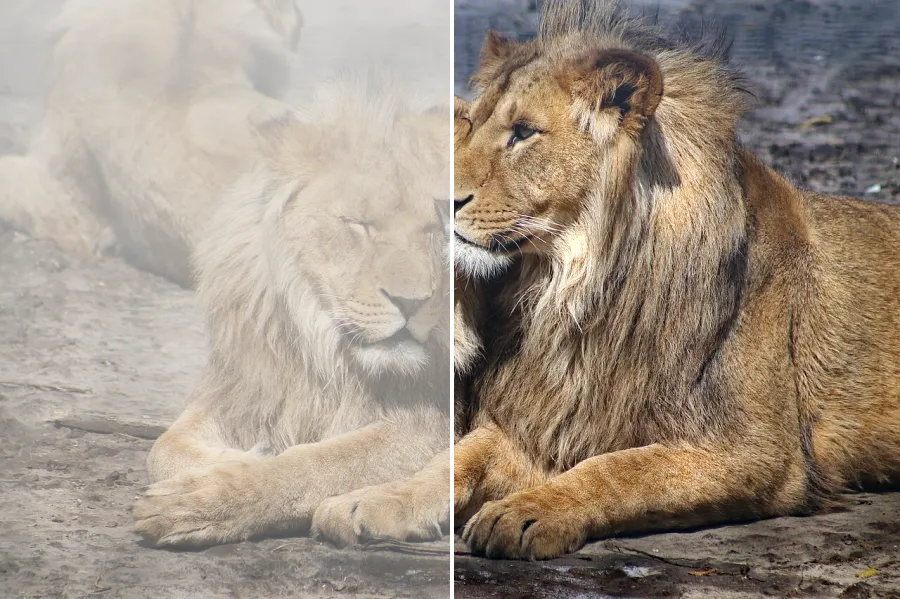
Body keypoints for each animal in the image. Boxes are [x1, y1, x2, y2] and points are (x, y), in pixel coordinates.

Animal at [132, 76, 453, 548]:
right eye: (359, 224)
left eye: (436, 226)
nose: (413, 302)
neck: (323, 350)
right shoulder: (246, 388)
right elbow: (164, 449)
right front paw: (231, 460)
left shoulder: (432, 415)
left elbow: (321, 461)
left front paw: (204, 498)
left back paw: (371, 508)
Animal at [452, 0, 900, 560]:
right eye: (469, 123)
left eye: (524, 131)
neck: (578, 292)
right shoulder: (552, 417)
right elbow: (460, 457)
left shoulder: (760, 452)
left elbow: (621, 470)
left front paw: (526, 513)